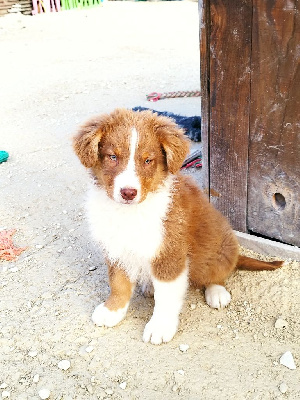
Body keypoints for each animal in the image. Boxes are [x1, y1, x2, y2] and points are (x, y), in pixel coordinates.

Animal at [74, 108, 282, 344]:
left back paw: (216, 292)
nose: (128, 193)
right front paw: (113, 311)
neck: (130, 214)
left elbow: (166, 297)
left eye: (148, 160)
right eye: (112, 157)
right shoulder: (117, 248)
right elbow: (118, 283)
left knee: (217, 273)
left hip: (219, 249)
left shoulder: (169, 253)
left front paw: (160, 326)